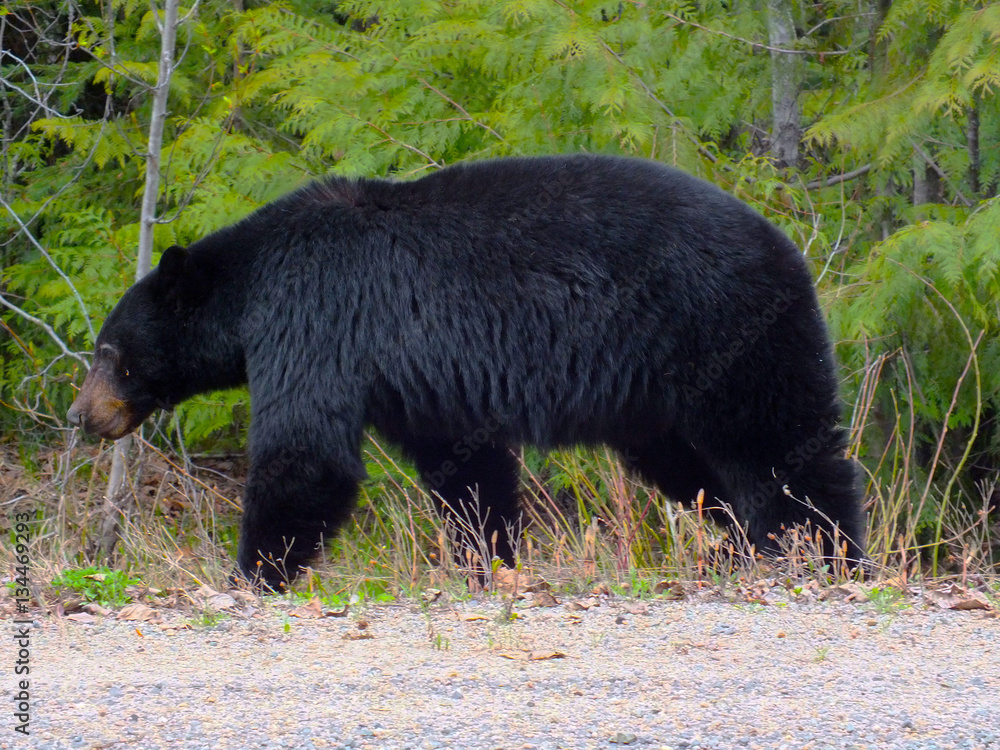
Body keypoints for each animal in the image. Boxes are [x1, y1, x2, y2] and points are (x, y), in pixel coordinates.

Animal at [70, 153, 864, 588]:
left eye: (108, 354)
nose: (81, 416)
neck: (251, 284)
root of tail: (785, 244)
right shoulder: (422, 384)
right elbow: (465, 467)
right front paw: (487, 560)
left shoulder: (314, 316)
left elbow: (307, 452)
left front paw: (252, 572)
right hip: (659, 400)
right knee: (702, 471)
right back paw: (738, 550)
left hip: (723, 327)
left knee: (781, 446)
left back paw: (828, 555)